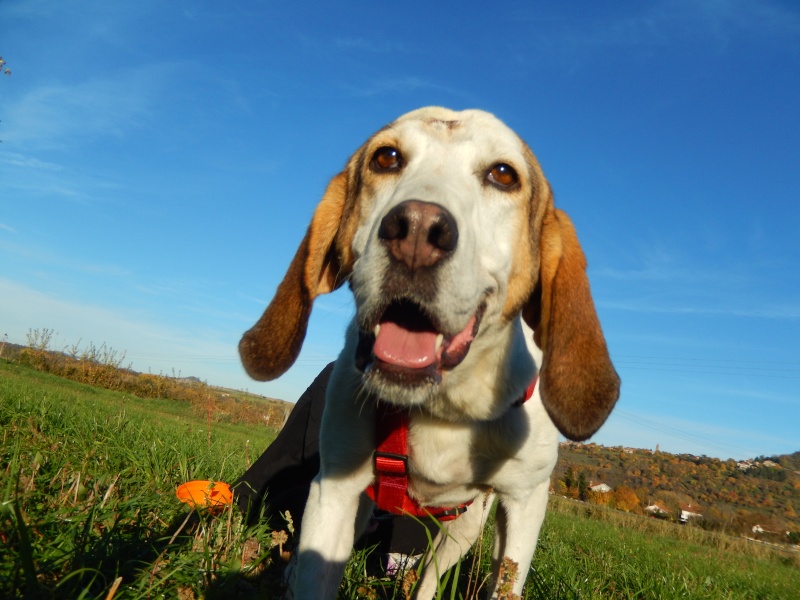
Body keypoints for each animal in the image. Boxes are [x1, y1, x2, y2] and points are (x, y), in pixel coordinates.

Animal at [241, 105, 620, 596]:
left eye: (503, 174)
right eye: (385, 158)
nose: (417, 229)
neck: (445, 406)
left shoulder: (525, 503)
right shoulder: (336, 488)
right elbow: (315, 572)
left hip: (465, 528)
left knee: (429, 578)